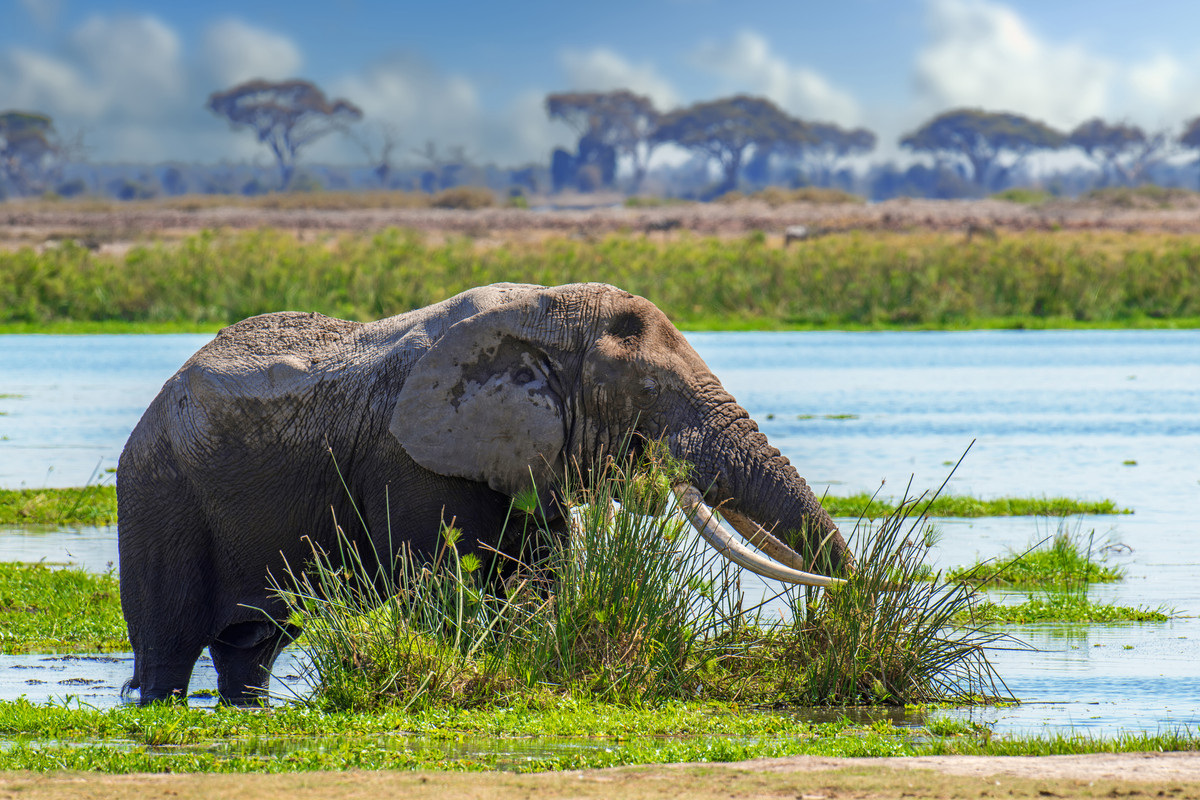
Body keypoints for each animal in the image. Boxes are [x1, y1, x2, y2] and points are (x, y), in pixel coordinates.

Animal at [117, 282, 853, 706]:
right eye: (647, 392)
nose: (846, 606)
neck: (547, 318)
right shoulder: (412, 463)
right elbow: (451, 585)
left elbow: (545, 574)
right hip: (159, 494)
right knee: (168, 647)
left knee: (253, 649)